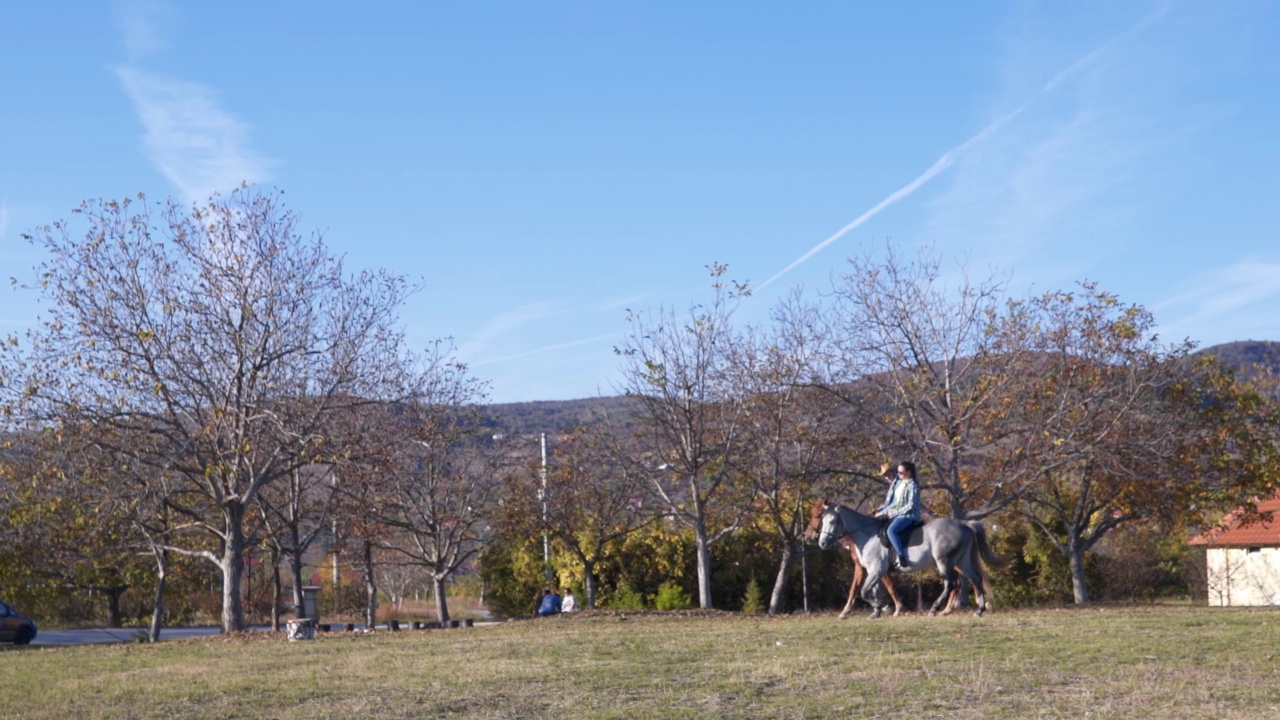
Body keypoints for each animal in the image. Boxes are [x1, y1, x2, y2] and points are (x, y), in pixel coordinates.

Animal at [814, 499, 1003, 617]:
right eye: (822, 520)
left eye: (831, 522)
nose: (822, 543)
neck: (867, 534)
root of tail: (963, 525)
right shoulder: (871, 570)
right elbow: (872, 590)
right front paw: (878, 611)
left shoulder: (877, 569)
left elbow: (865, 591)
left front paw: (883, 608)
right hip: (961, 561)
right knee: (975, 579)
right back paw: (979, 609)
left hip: (944, 562)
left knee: (951, 584)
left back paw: (935, 609)